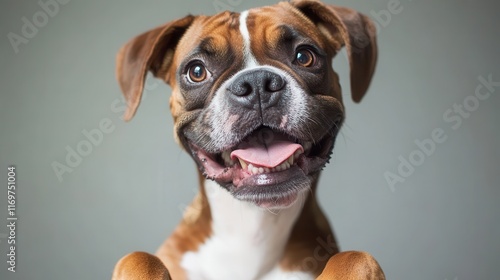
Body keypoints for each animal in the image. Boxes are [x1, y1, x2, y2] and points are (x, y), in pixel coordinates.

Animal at [113, 0, 382, 278]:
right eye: (196, 71)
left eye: (304, 57)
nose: (257, 84)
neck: (253, 228)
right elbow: (137, 257)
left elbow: (357, 257)